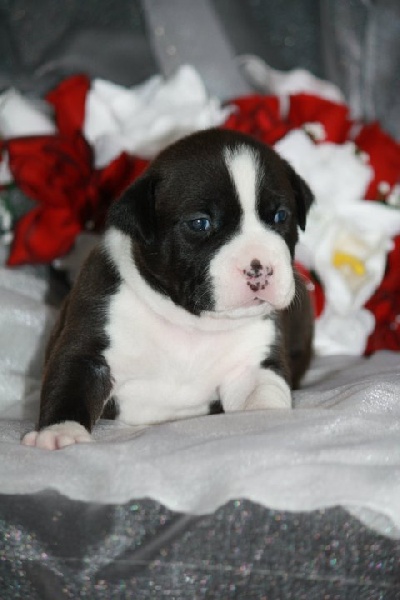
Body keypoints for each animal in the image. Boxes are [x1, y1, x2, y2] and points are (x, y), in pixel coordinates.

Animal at [22, 129, 314, 450]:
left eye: (280, 216)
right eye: (200, 223)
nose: (259, 267)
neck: (190, 324)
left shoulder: (253, 365)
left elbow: (264, 393)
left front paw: (266, 423)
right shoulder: (89, 350)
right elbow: (70, 385)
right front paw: (63, 432)